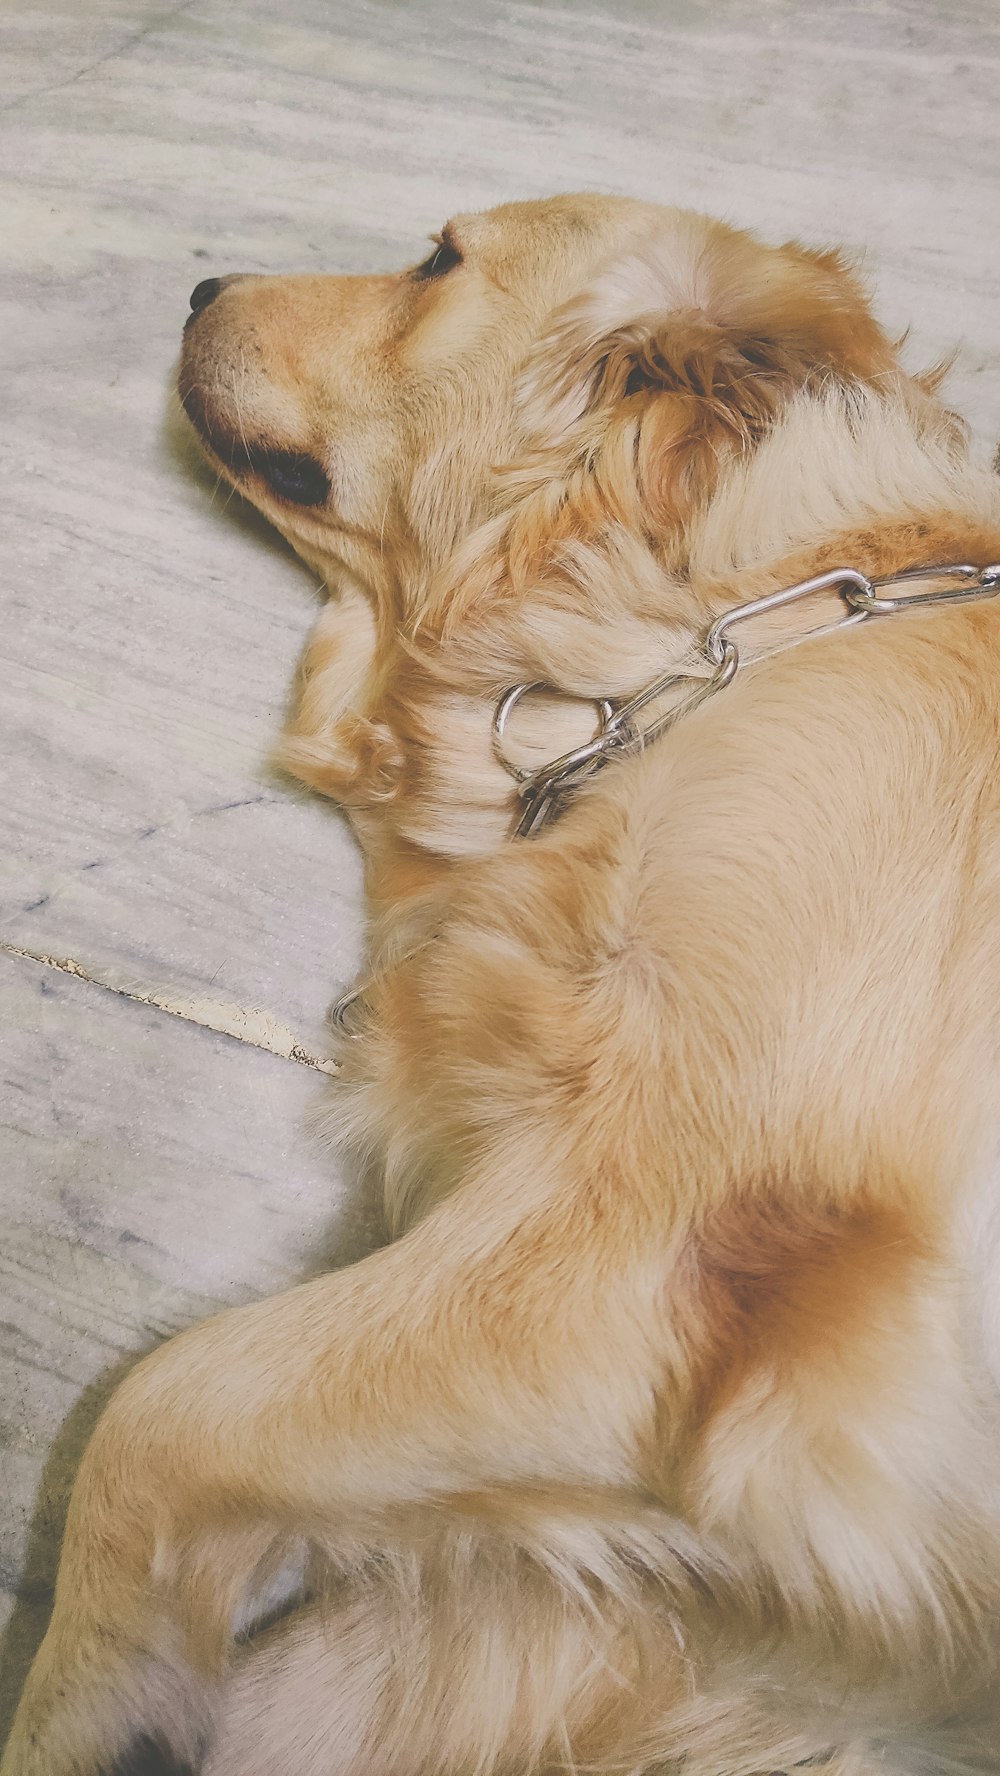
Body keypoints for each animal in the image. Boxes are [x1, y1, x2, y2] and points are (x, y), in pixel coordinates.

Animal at [5, 194, 1000, 1776]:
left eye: (437, 260)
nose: (201, 282)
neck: (701, 642)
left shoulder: (647, 1252)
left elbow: (168, 1403)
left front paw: (86, 1707)